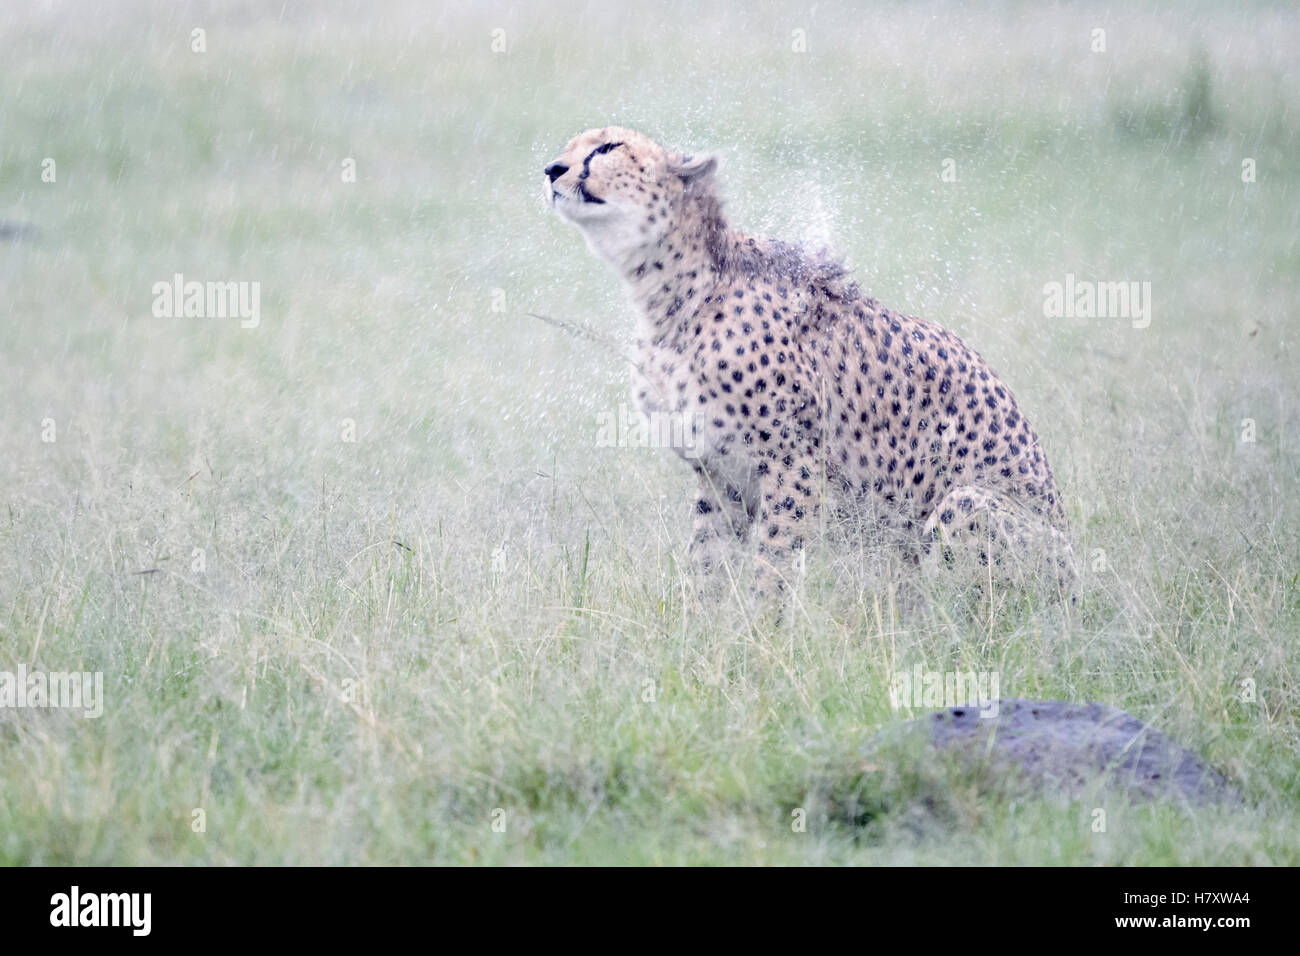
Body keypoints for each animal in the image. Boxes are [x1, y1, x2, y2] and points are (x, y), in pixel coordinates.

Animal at [543, 123, 1071, 595]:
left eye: (609, 147)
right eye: (569, 145)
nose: (552, 169)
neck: (672, 292)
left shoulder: (793, 465)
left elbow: (771, 563)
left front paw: (761, 630)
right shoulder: (720, 473)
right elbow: (708, 562)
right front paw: (699, 629)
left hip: (968, 506)